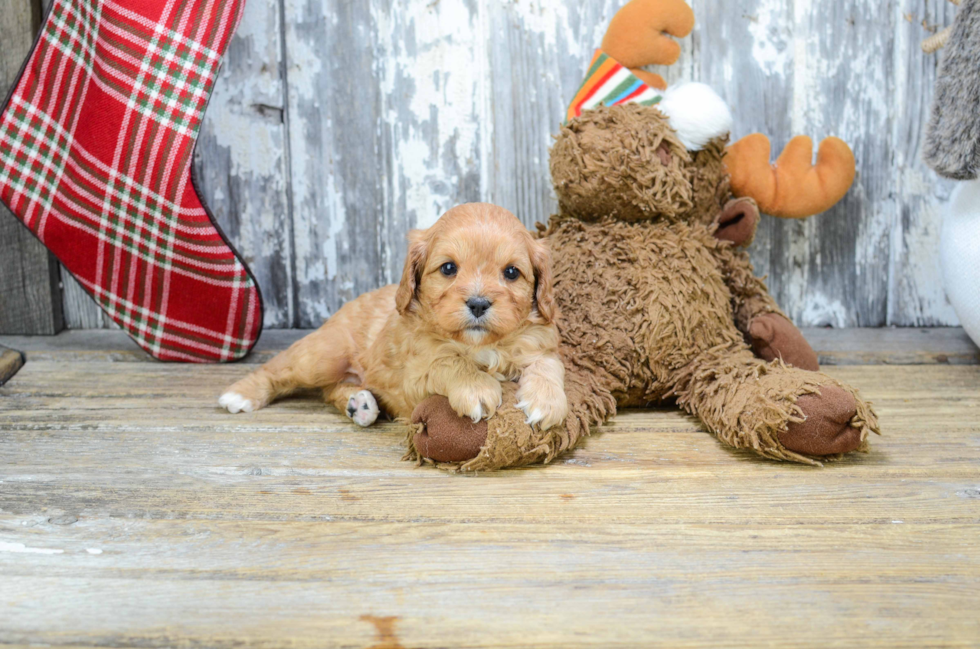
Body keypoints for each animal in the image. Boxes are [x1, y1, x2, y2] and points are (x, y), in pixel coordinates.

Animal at [214, 202, 568, 430]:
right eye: (448, 268)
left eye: (511, 272)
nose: (479, 304)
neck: (480, 345)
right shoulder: (415, 376)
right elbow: (449, 362)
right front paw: (477, 388)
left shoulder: (539, 341)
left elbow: (549, 364)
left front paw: (547, 401)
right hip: (322, 356)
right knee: (278, 369)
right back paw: (240, 394)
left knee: (332, 390)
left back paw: (361, 405)